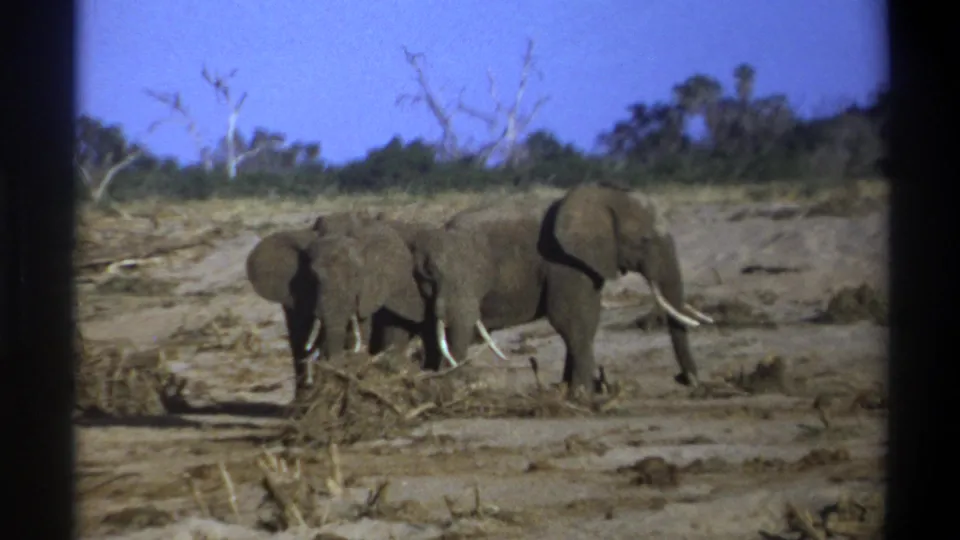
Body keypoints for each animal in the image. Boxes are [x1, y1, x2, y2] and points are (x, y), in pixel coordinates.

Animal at [409, 182, 714, 397]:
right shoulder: (563, 262)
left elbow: (583, 320)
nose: (684, 380)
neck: (600, 196)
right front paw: (584, 394)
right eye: (645, 240)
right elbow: (573, 319)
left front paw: (570, 390)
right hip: (459, 281)